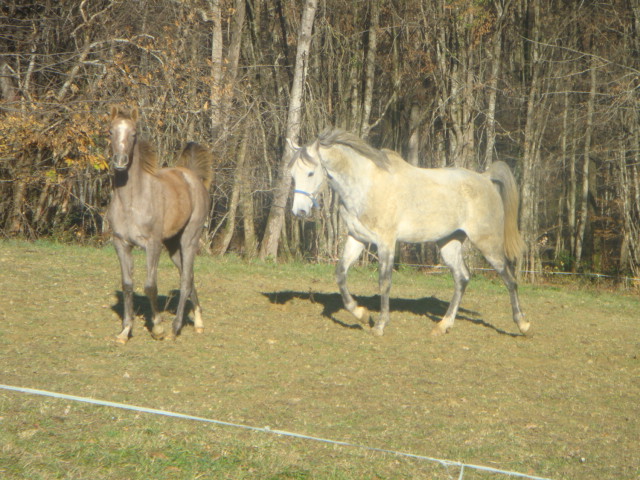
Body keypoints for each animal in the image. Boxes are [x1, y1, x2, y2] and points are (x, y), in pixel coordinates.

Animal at [106, 107, 214, 344]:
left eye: (134, 133)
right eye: (110, 132)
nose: (120, 161)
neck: (131, 202)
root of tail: (192, 177)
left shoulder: (152, 244)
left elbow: (150, 286)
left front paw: (157, 328)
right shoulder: (121, 244)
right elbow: (127, 285)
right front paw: (125, 331)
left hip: (189, 239)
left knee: (185, 280)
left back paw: (176, 327)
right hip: (173, 246)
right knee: (188, 275)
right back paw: (199, 322)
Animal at [290, 128, 528, 338]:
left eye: (310, 172)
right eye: (292, 175)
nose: (299, 211)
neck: (366, 186)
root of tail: (485, 179)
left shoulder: (386, 242)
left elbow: (384, 282)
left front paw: (379, 326)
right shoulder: (357, 238)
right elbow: (340, 274)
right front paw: (361, 314)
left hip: (487, 243)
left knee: (509, 279)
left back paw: (522, 324)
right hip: (449, 242)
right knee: (462, 278)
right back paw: (443, 326)